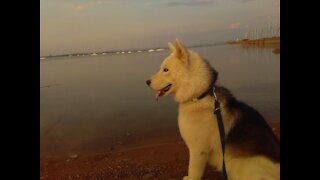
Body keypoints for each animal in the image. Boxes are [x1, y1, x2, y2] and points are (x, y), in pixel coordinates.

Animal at [146, 38, 278, 179]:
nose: (146, 82)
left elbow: (193, 172)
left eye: (165, 70)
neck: (199, 95)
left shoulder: (198, 151)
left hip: (247, 167)